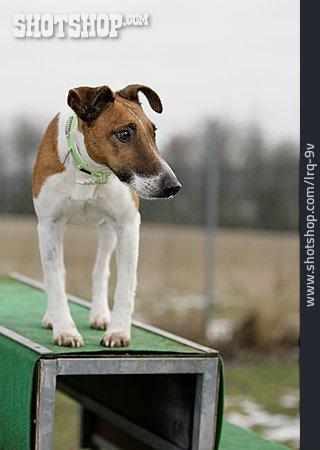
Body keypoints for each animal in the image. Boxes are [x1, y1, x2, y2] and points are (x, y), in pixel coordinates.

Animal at [32, 84, 182, 348]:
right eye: (123, 134)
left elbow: (125, 284)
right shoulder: (48, 225)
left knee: (100, 269)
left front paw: (119, 331)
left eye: (153, 132)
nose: (173, 186)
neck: (90, 172)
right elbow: (55, 280)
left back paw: (100, 314)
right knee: (58, 271)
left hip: (108, 229)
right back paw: (52, 317)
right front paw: (65, 330)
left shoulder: (127, 225)